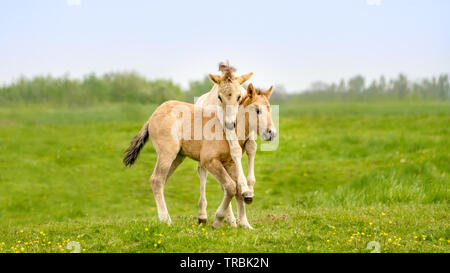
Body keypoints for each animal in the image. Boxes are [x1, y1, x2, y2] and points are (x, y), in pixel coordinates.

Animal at [125, 83, 276, 227]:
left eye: (269, 109)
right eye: (257, 110)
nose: (271, 133)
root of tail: (153, 116)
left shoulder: (230, 163)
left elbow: (238, 188)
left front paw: (244, 224)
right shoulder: (209, 161)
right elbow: (230, 187)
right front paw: (218, 220)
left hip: (177, 157)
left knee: (160, 181)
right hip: (167, 154)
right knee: (157, 180)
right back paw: (166, 220)